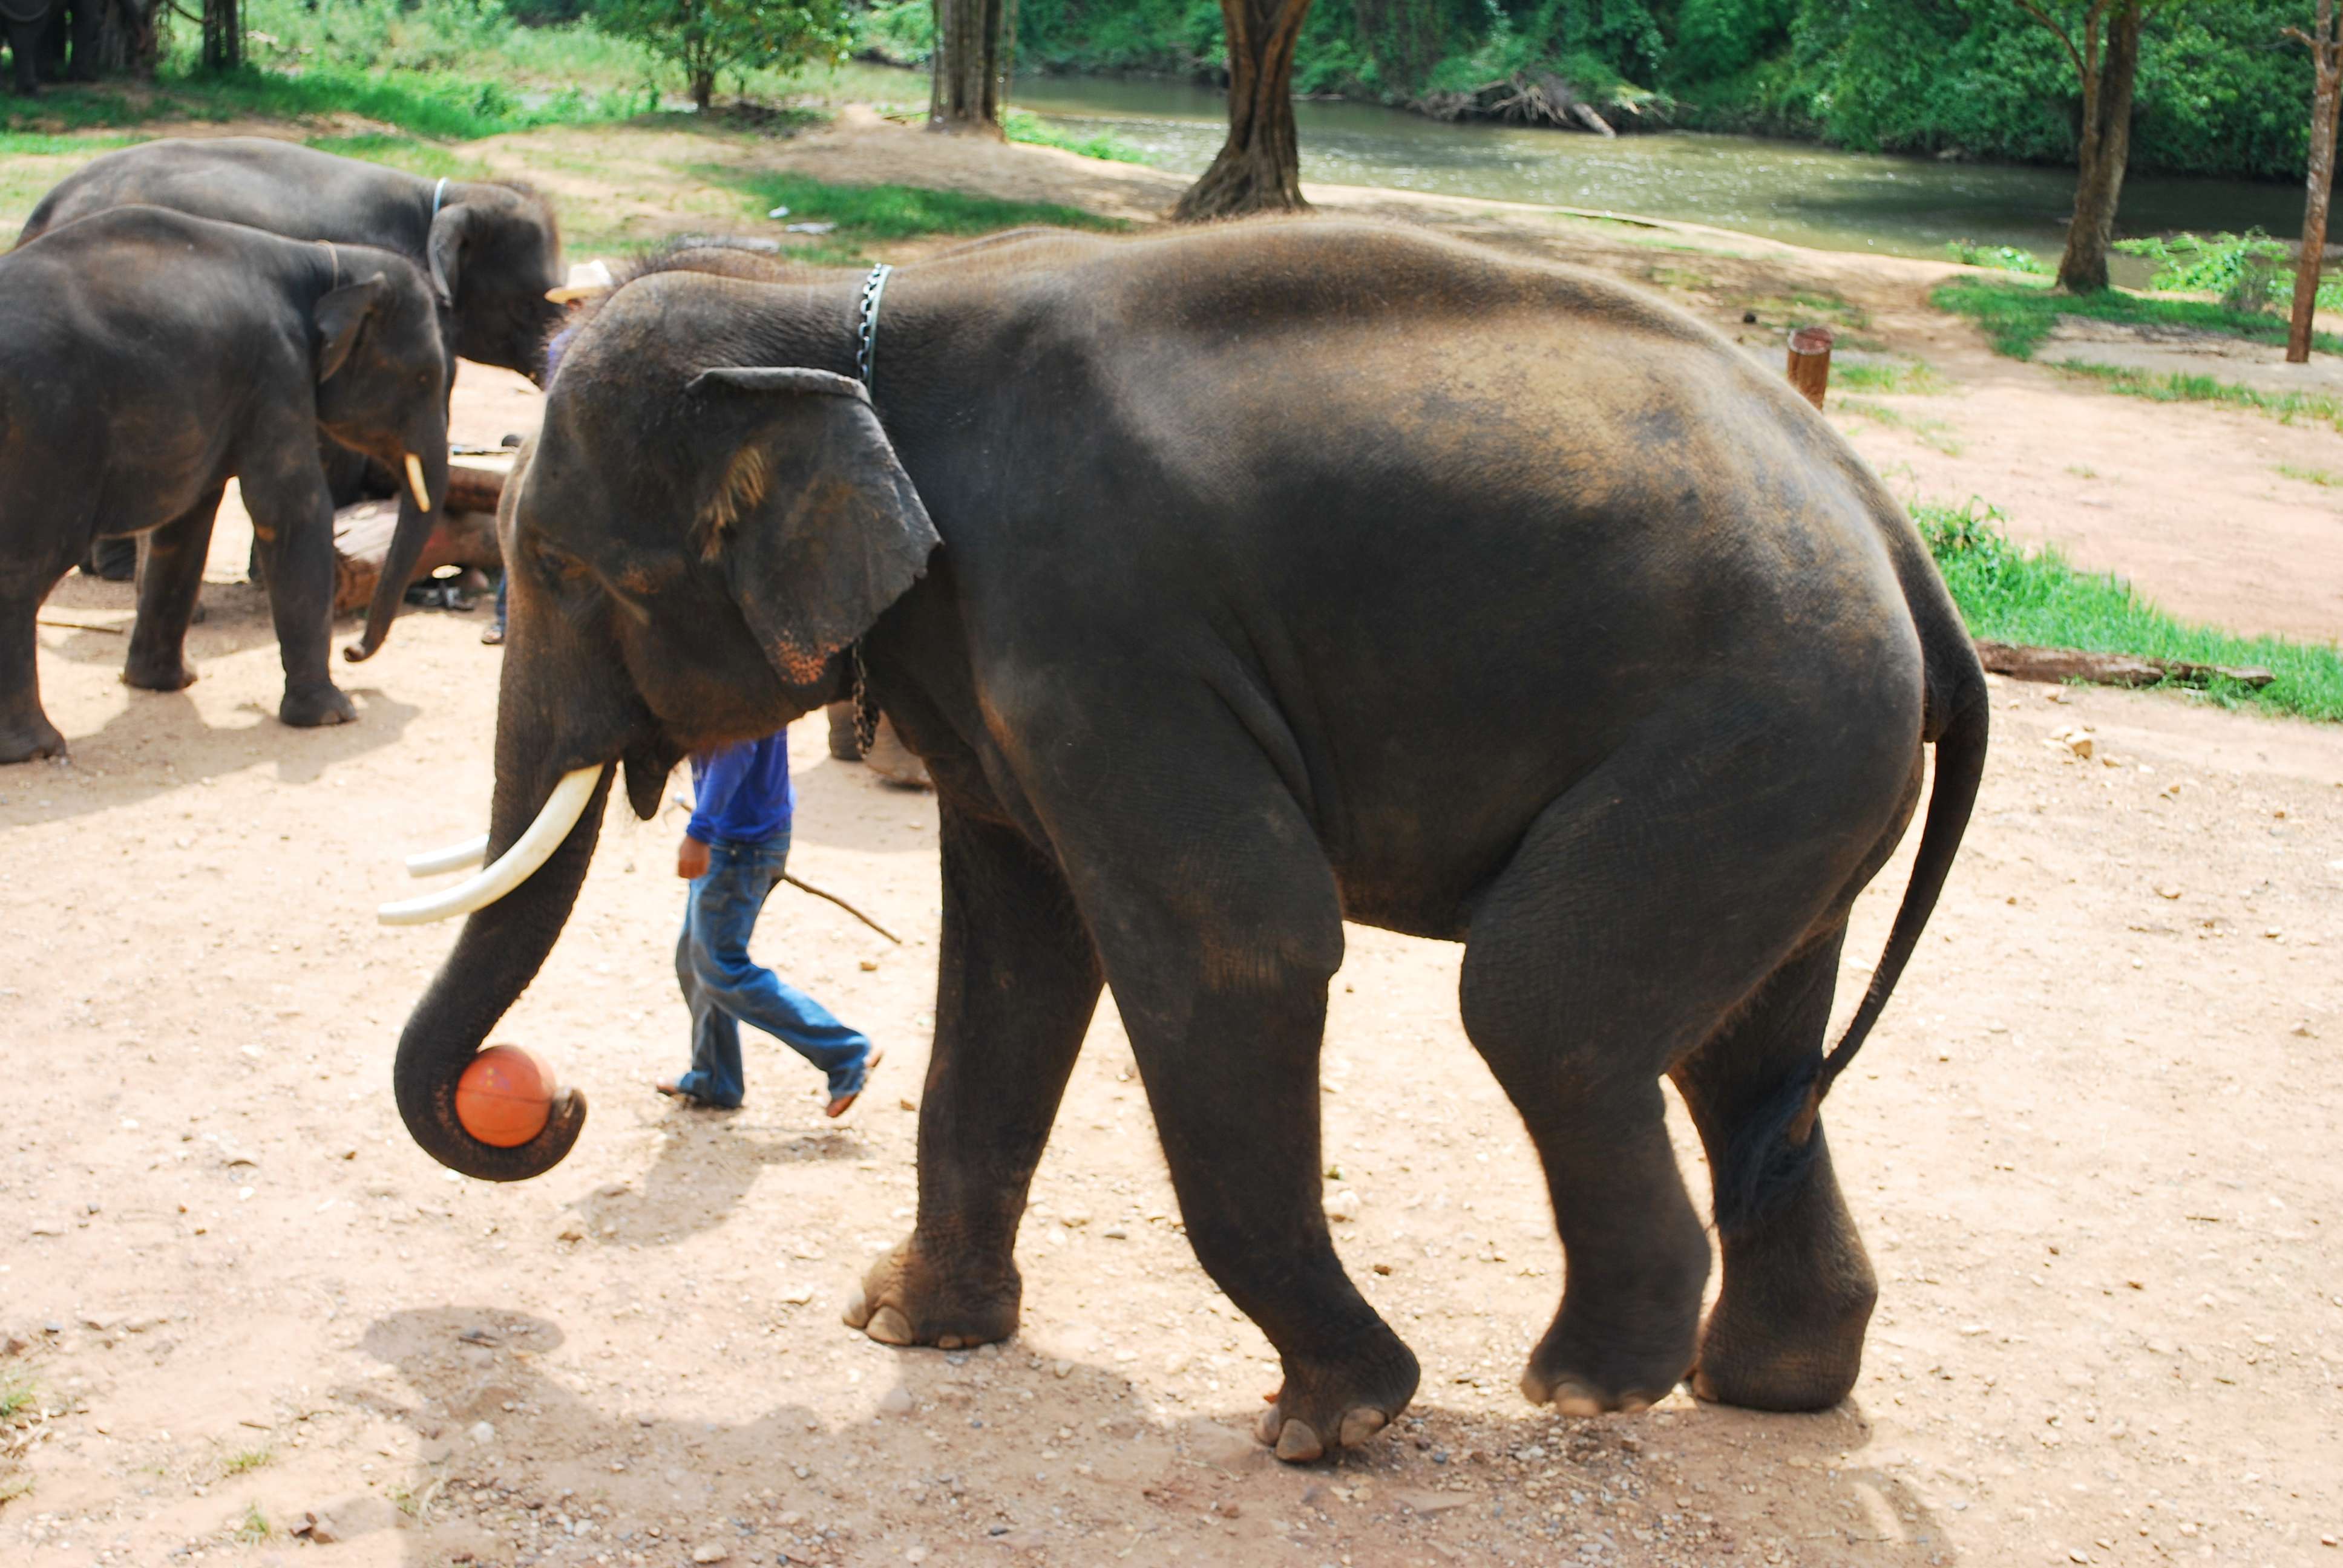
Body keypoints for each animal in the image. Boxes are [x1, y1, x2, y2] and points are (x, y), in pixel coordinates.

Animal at [0, 206, 452, 764]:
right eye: (425, 378)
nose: (354, 652)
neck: (328, 263)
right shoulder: (277, 369)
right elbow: (290, 509)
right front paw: (333, 716)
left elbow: (188, 520)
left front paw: (167, 683)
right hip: (45, 436)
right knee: (26, 567)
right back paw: (37, 747)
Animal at [382, 223, 1988, 1462]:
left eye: (559, 569)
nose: (549, 1100)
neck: (836, 313)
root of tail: (1896, 536)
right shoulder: (993, 668)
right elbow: (1014, 957)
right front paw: (903, 1323)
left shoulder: (1099, 626)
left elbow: (1241, 945)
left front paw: (1333, 1423)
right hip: (1802, 759)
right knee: (1745, 1048)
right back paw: (1768, 1386)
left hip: (1765, 718)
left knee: (1544, 1003)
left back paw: (1591, 1383)